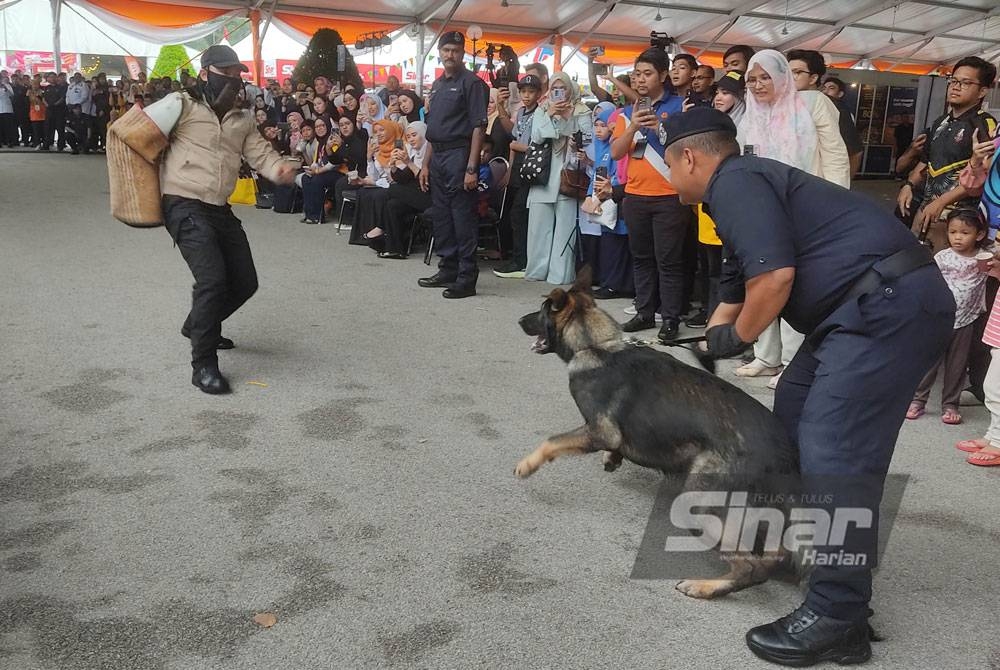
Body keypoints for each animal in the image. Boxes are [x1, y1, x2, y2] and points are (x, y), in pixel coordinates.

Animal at [520, 270, 800, 600]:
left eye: (541, 311)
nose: (520, 321)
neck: (597, 345)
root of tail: (782, 452)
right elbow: (615, 445)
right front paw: (613, 458)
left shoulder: (600, 430)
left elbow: (552, 440)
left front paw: (527, 464)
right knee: (773, 553)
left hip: (702, 502)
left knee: (751, 568)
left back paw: (705, 586)